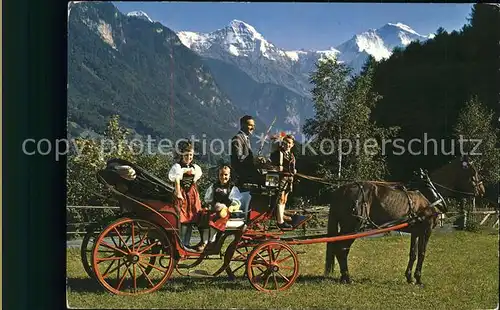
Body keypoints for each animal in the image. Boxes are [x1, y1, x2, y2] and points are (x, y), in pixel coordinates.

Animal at [324, 157, 484, 286]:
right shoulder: (426, 230)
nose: (482, 190)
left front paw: (409, 277)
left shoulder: (416, 231)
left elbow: (413, 253)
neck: (429, 196)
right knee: (342, 249)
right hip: (352, 227)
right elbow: (422, 253)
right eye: (474, 173)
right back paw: (346, 277)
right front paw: (418, 279)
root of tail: (340, 191)